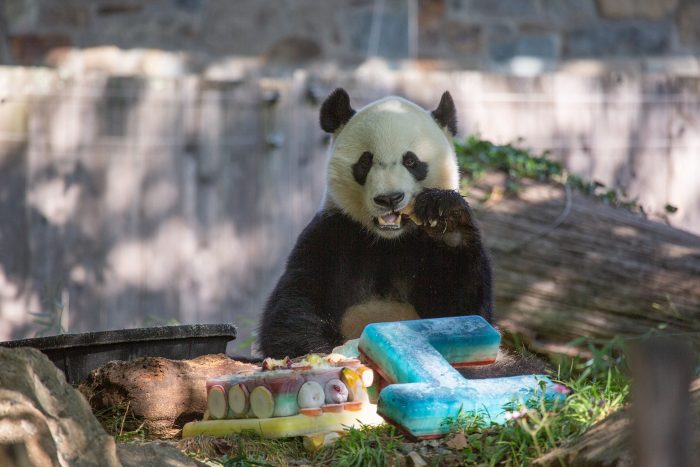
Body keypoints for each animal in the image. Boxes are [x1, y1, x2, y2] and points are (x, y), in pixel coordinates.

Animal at [258, 88, 492, 358]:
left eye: (411, 161)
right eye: (365, 161)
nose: (389, 198)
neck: (388, 240)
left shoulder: (426, 251)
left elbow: (464, 311)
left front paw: (446, 219)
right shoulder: (330, 234)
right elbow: (292, 309)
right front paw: (326, 354)